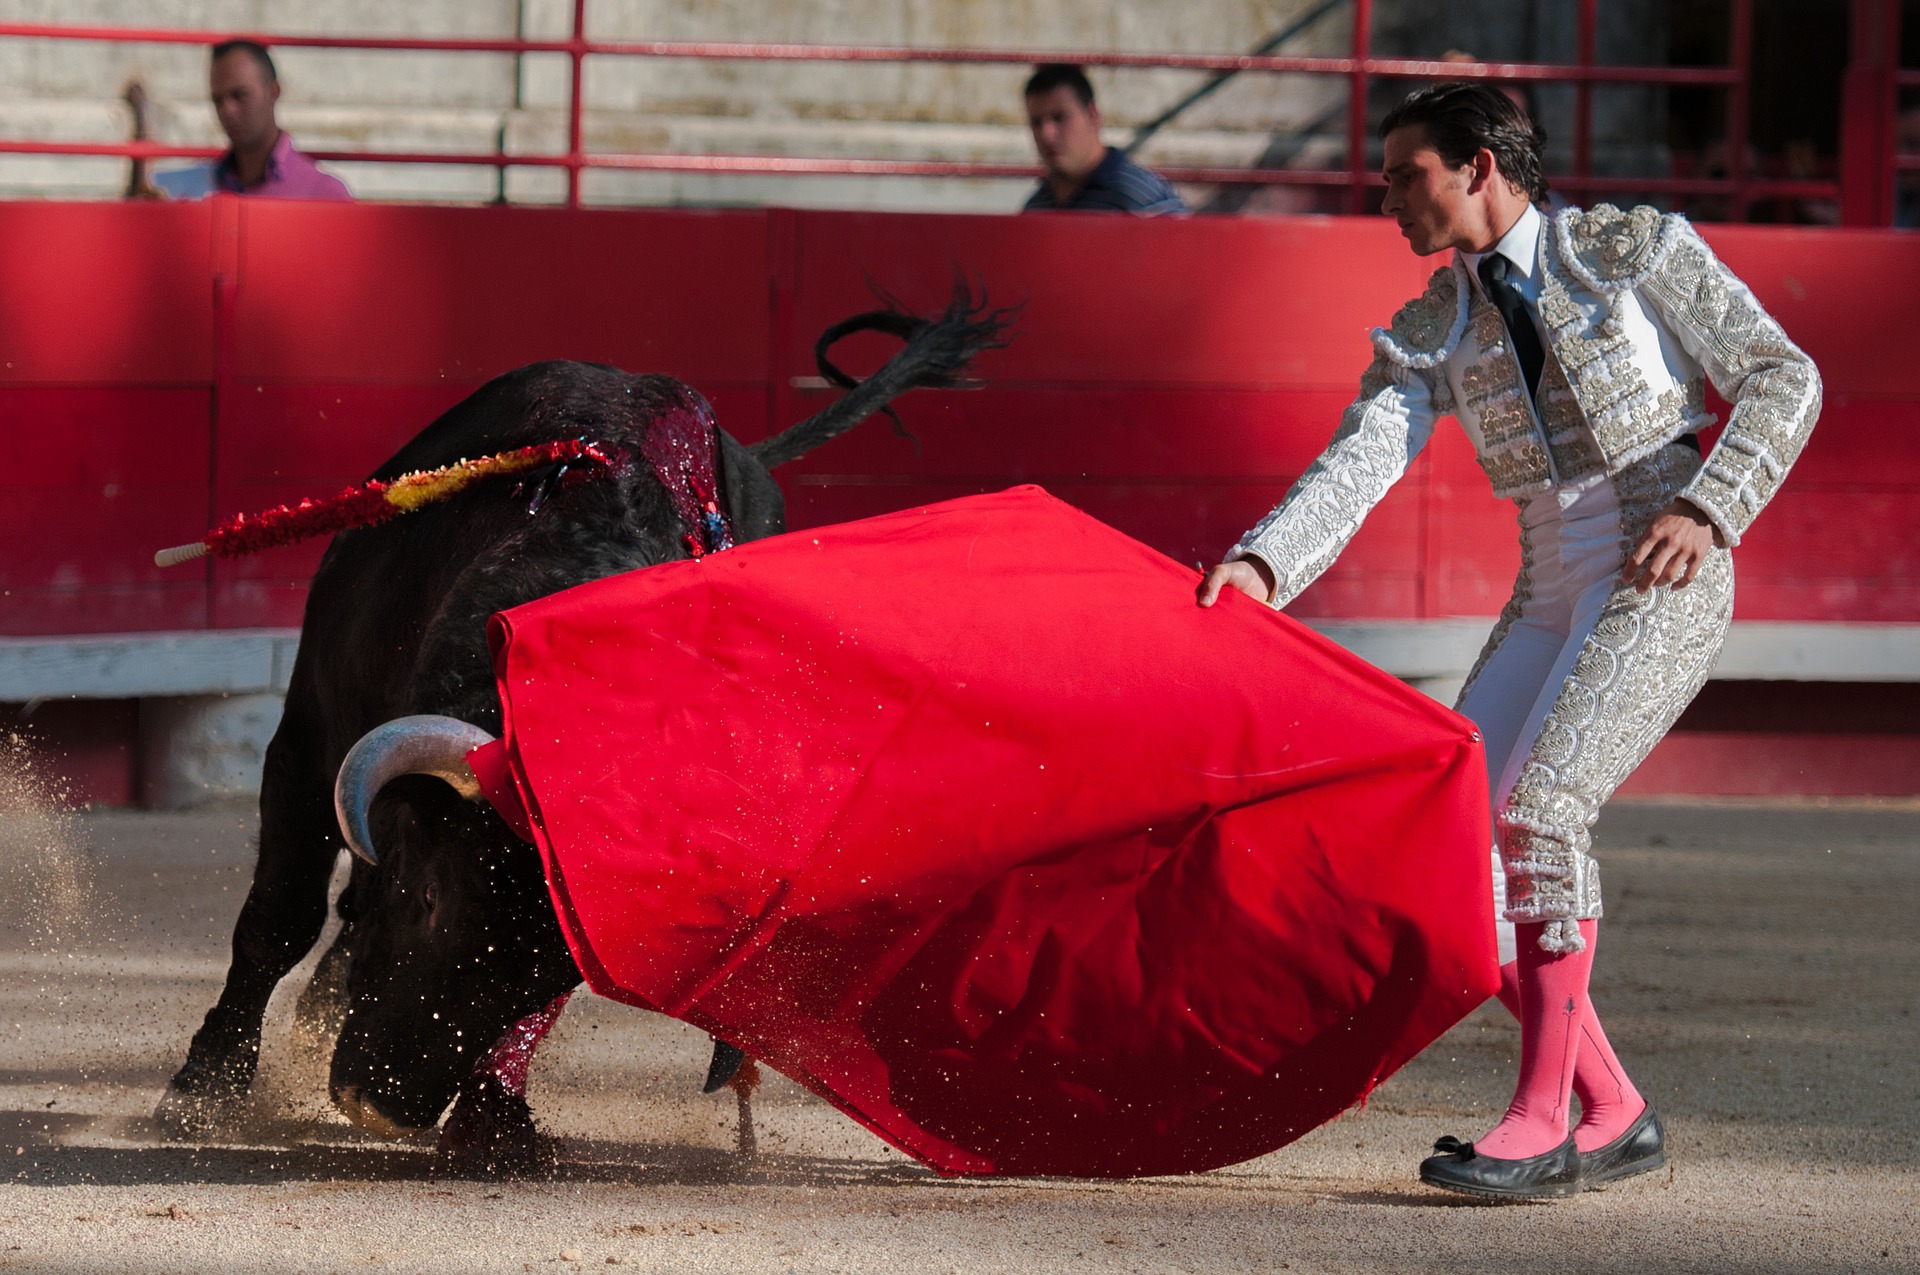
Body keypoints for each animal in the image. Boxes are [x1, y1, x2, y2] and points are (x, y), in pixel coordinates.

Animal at [157, 293, 1013, 1152]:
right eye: (430, 897)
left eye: (548, 977)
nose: (384, 1103)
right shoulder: (305, 739)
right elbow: (281, 913)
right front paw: (203, 1086)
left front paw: (494, 1115)